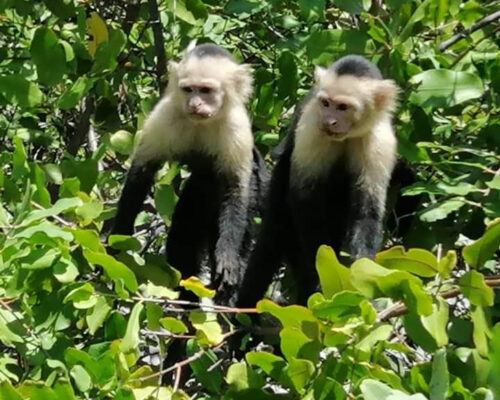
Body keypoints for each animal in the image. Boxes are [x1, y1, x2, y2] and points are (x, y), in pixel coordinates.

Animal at [109, 43, 266, 304]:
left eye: (206, 90)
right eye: (188, 89)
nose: (194, 104)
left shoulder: (237, 128)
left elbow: (235, 189)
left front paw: (227, 258)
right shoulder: (165, 116)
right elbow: (142, 171)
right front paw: (119, 236)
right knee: (183, 239)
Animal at [237, 54, 398, 308]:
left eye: (343, 107)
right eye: (326, 104)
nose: (330, 121)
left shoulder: (380, 139)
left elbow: (367, 211)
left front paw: (358, 275)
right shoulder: (312, 123)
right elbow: (306, 200)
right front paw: (318, 273)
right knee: (273, 234)